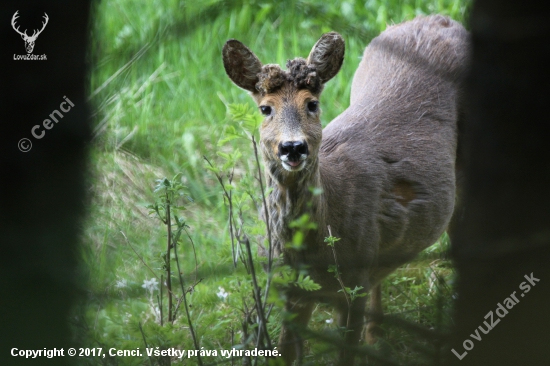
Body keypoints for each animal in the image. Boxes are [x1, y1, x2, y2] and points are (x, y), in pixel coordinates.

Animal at [224, 15, 470, 366]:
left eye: (312, 104)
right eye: (265, 109)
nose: (293, 147)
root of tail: (440, 18)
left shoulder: (352, 283)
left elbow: (345, 353)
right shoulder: (290, 289)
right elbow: (286, 352)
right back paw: (377, 336)